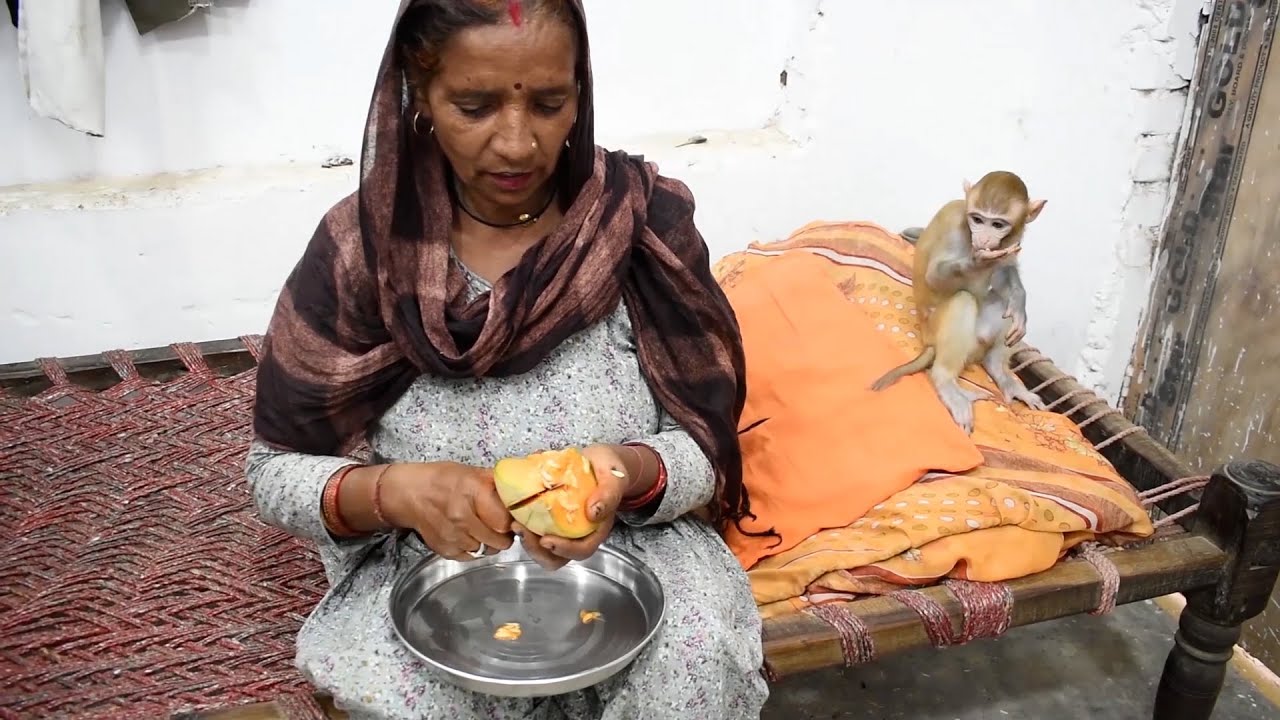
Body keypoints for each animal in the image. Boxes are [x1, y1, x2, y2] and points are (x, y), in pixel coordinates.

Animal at [870, 171, 1047, 433]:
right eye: (977, 219)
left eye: (997, 224)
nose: (983, 238)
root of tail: (927, 340)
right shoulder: (954, 226)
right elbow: (934, 276)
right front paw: (978, 261)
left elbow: (1005, 271)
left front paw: (1019, 301)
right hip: (938, 331)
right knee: (963, 300)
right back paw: (946, 382)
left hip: (978, 341)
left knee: (1002, 307)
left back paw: (999, 368)